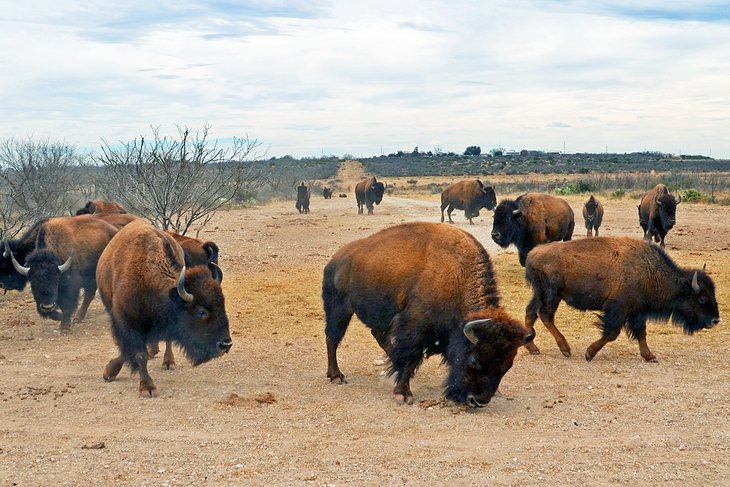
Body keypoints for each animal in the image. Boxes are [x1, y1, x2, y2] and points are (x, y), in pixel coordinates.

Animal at [95, 220, 229, 396]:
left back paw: (168, 361)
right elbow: (137, 352)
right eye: (201, 311)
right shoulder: (126, 321)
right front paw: (146, 387)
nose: (226, 344)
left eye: (222, 304)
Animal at [322, 223, 532, 406]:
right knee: (333, 339)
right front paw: (403, 394)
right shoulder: (414, 326)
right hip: (339, 310)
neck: (457, 276)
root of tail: (335, 260)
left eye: (508, 365)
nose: (478, 401)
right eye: (474, 360)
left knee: (379, 337)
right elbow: (410, 356)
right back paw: (336, 376)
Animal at [524, 236, 716, 362]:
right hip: (551, 295)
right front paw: (589, 353)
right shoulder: (618, 309)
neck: (650, 271)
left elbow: (641, 333)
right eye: (702, 299)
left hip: (540, 294)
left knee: (531, 313)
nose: (715, 320)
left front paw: (650, 356)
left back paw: (533, 348)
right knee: (545, 316)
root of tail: (533, 253)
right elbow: (611, 333)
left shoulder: (637, 312)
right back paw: (565, 349)